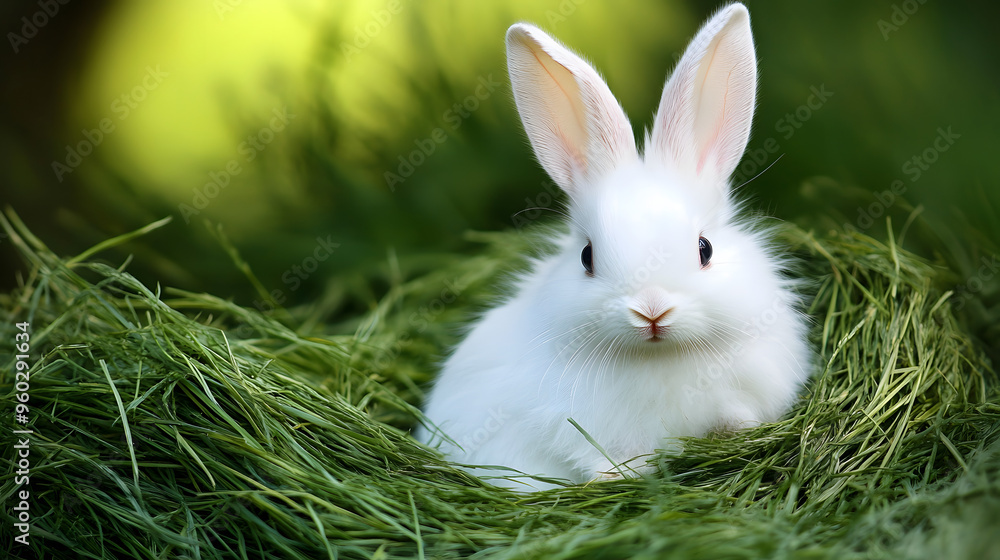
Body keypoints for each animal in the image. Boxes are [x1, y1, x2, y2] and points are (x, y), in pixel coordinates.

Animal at [416, 3, 812, 490]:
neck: (658, 357)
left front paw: (733, 432)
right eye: (587, 256)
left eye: (705, 249)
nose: (652, 311)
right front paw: (615, 477)